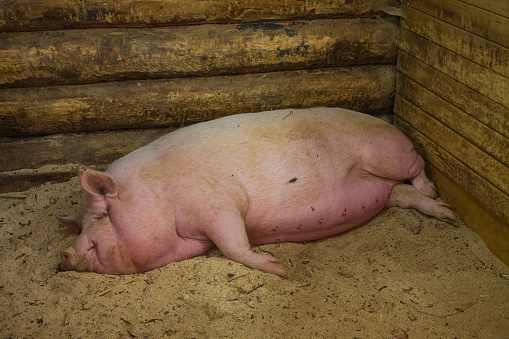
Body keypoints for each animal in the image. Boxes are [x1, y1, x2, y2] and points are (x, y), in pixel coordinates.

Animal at [58, 107, 452, 278]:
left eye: (101, 213)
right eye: (81, 224)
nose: (65, 254)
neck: (159, 194)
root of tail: (390, 125)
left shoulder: (219, 203)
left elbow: (234, 246)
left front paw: (280, 270)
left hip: (389, 156)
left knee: (418, 164)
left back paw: (437, 193)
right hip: (384, 189)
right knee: (405, 197)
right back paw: (446, 212)